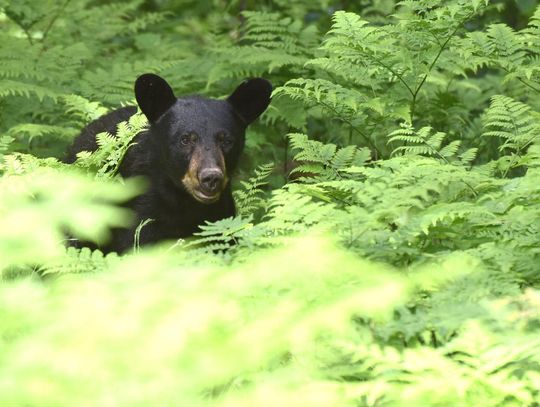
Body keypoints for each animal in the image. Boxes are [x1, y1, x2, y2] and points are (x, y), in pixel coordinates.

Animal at [66, 73, 272, 252]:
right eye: (185, 139)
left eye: (226, 140)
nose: (211, 177)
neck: (183, 203)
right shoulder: (140, 217)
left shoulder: (221, 219)